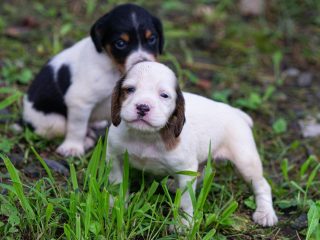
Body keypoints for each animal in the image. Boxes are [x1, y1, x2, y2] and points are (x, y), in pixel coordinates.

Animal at [23, 4, 162, 158]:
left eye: (152, 39)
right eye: (120, 43)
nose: (143, 64)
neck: (114, 68)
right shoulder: (79, 101)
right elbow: (76, 128)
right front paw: (73, 147)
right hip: (54, 123)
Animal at [107, 61, 278, 227]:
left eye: (164, 95)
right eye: (130, 89)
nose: (142, 107)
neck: (145, 136)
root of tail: (236, 112)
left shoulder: (186, 169)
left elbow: (185, 201)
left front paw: (183, 224)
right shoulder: (113, 157)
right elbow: (117, 183)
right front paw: (116, 205)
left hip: (246, 161)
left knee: (262, 185)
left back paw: (265, 213)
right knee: (200, 174)